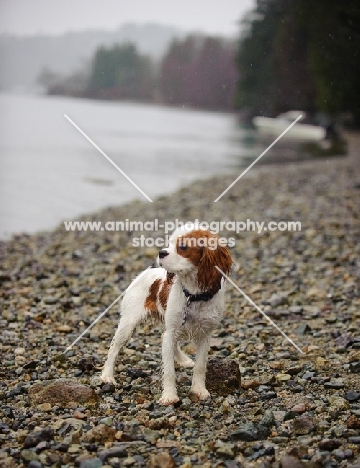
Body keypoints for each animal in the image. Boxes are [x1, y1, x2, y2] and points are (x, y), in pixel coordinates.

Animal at [100, 225, 232, 404]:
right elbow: (169, 370)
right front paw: (169, 396)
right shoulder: (171, 332)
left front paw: (199, 390)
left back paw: (183, 360)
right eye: (168, 243)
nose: (161, 252)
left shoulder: (205, 335)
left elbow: (200, 366)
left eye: (183, 246)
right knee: (114, 348)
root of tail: (143, 273)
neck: (194, 295)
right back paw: (107, 376)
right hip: (128, 324)